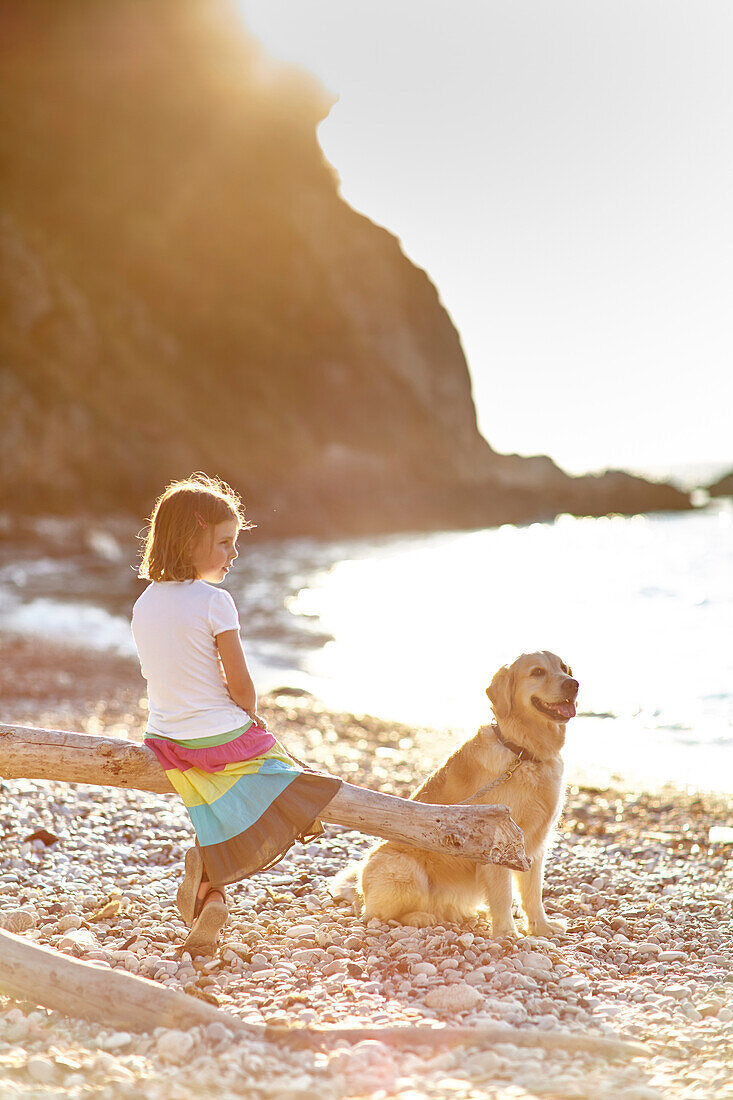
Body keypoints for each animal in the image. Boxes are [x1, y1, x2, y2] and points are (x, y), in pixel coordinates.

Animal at [347, 651, 576, 937]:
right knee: (377, 916)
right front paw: (507, 935)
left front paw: (542, 928)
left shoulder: (537, 843)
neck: (523, 752)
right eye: (537, 672)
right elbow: (503, 895)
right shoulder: (499, 841)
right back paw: (420, 917)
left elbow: (533, 893)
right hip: (404, 868)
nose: (573, 684)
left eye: (564, 668)